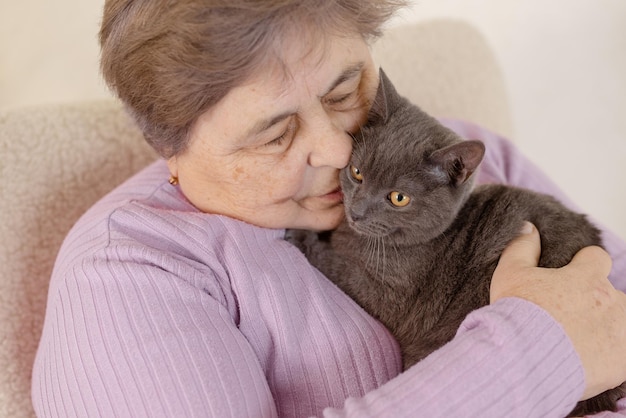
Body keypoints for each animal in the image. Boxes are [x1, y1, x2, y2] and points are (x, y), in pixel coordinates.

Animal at [286, 70, 624, 416]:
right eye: (356, 172)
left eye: (398, 198)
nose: (356, 211)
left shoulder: (392, 295)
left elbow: (339, 267)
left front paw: (301, 236)